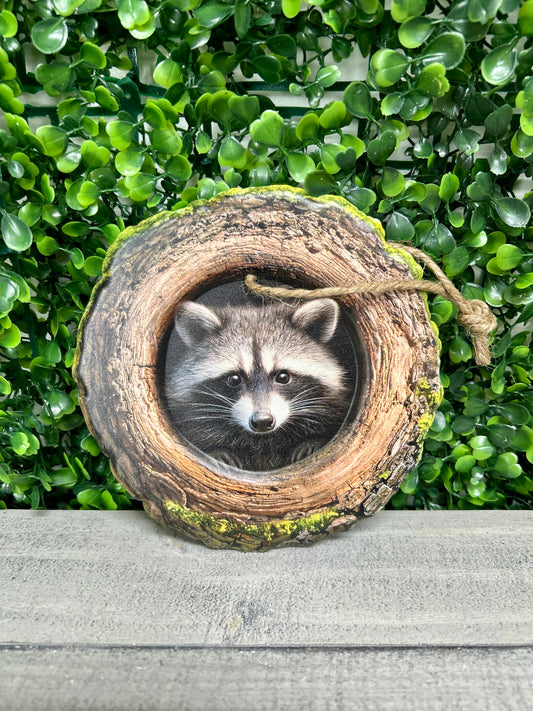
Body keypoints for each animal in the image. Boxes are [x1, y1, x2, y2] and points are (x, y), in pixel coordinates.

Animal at [166, 298, 351, 471]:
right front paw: (218, 452)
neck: (263, 439)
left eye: (283, 376)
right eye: (234, 379)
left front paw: (312, 443)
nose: (262, 421)